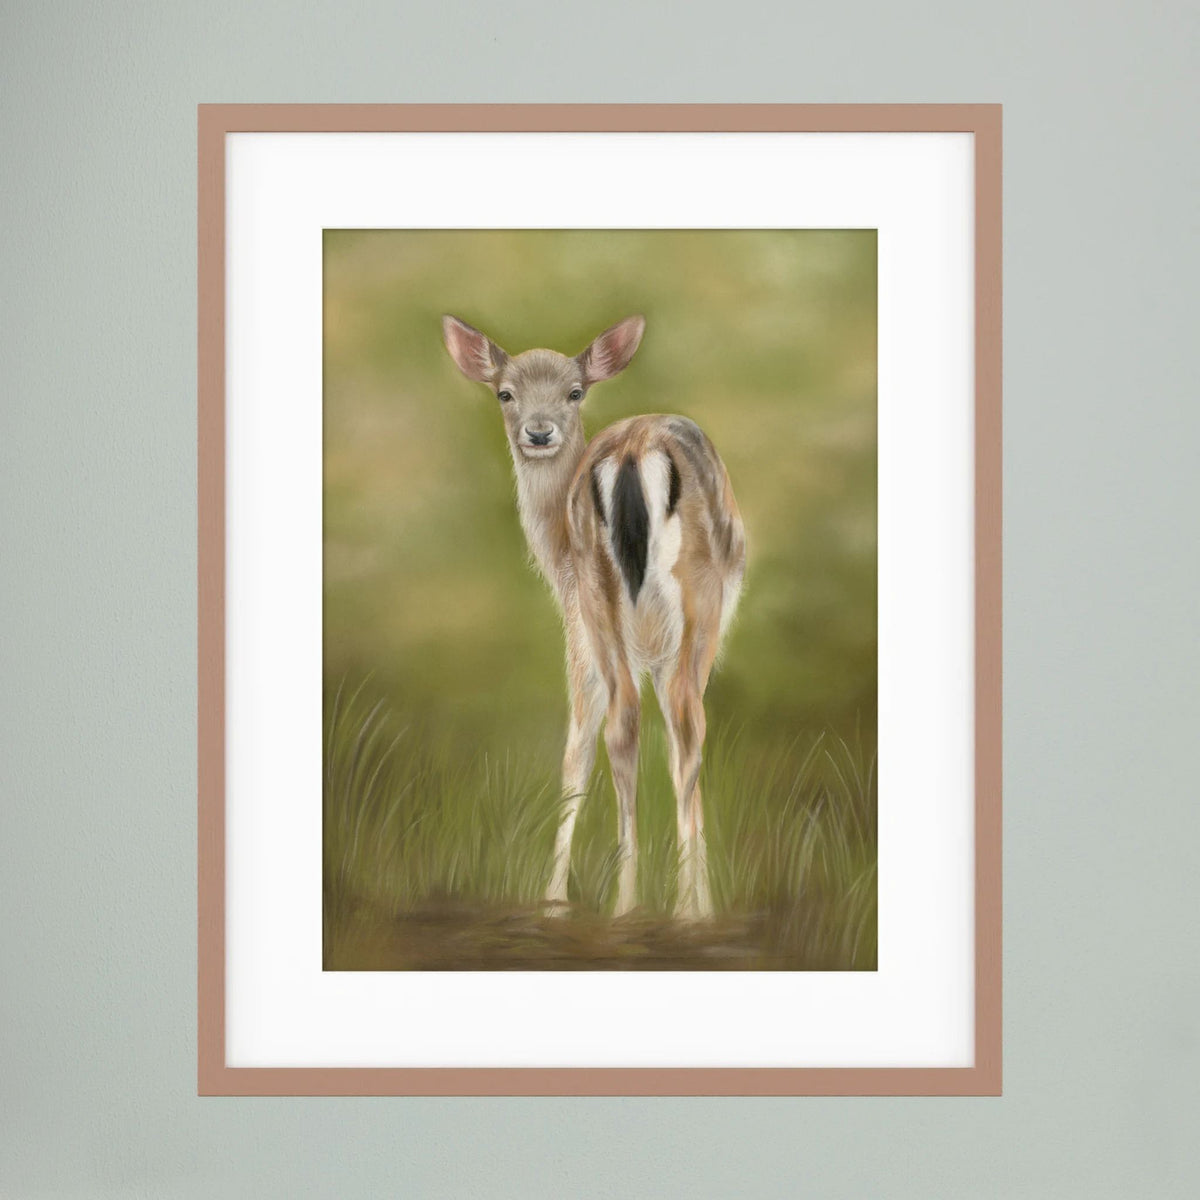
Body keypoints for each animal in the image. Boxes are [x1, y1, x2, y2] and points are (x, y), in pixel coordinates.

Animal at [442, 314, 745, 919]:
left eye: (574, 392)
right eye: (505, 392)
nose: (538, 433)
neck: (554, 556)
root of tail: (632, 452)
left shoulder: (592, 631)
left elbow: (584, 748)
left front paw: (554, 899)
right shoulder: (590, 636)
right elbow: (589, 749)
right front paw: (557, 898)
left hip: (606, 598)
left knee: (634, 723)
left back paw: (633, 904)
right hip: (683, 603)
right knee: (677, 723)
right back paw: (669, 910)